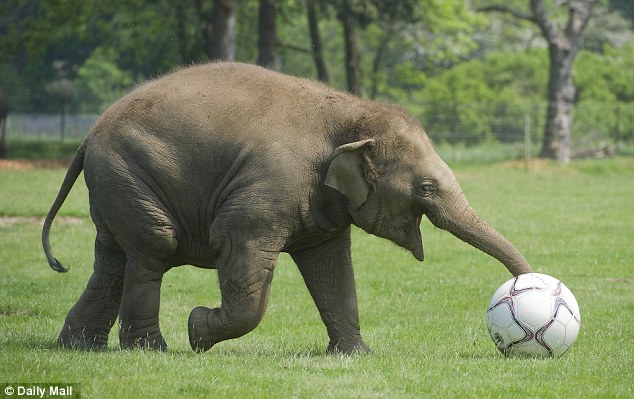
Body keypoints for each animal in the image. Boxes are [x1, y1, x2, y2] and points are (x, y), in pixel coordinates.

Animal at [42, 61, 532, 354]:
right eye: (427, 188)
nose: (527, 285)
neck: (351, 114)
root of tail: (89, 135)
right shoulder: (268, 187)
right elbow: (239, 249)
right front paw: (198, 331)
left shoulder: (321, 203)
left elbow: (331, 266)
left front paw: (355, 355)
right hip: (128, 175)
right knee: (153, 248)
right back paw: (151, 349)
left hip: (117, 186)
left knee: (112, 259)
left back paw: (78, 346)